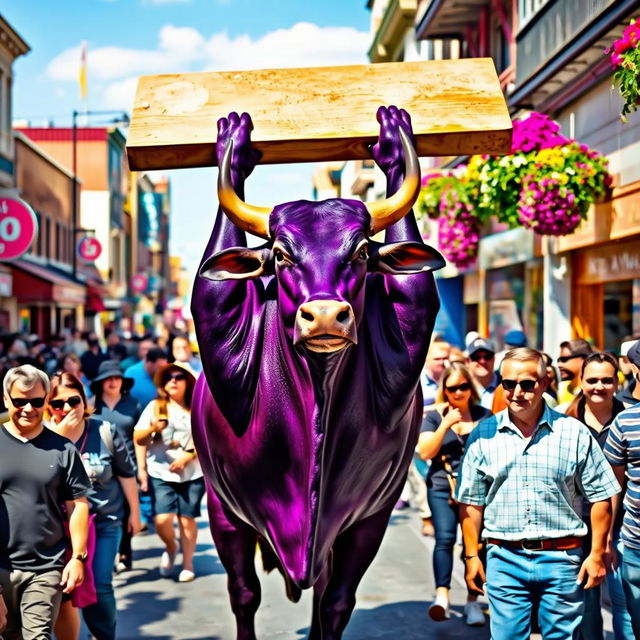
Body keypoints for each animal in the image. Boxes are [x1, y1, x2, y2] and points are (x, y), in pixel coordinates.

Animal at [190, 106, 444, 640]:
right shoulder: (224, 511)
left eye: (362, 252)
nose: (326, 316)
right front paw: (233, 147)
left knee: (323, 591)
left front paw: (394, 142)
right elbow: (244, 594)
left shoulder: (369, 519)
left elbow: (337, 602)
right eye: (281, 253)